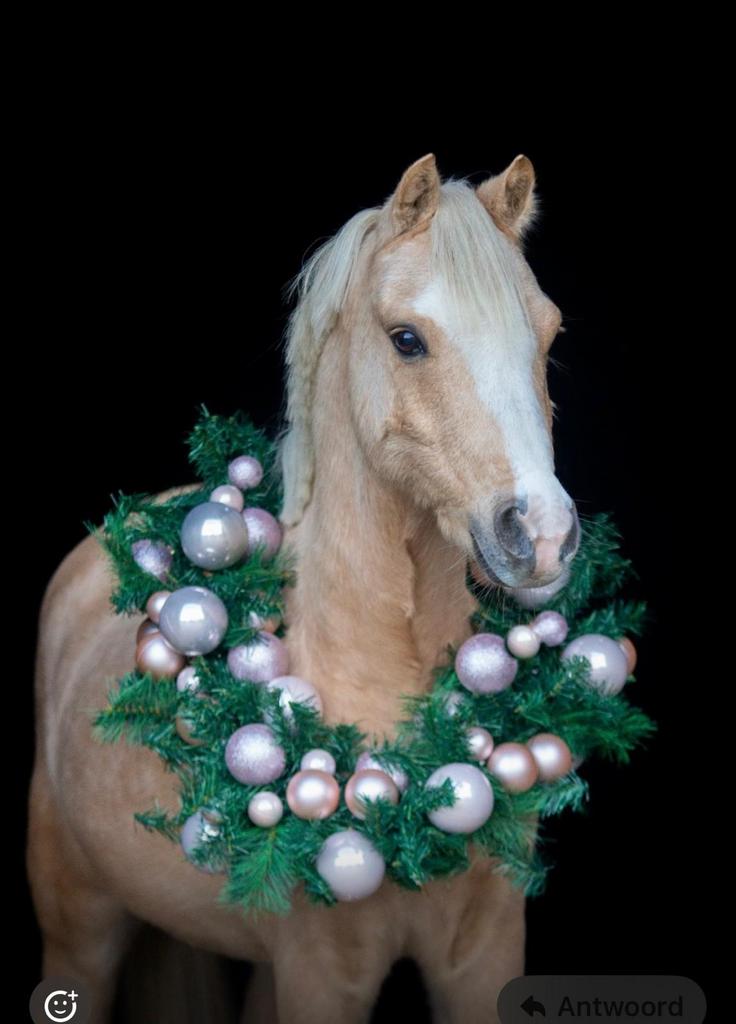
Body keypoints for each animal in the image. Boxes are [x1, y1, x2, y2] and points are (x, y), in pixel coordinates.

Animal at [27, 153, 579, 1023]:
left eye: (549, 334)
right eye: (407, 339)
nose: (545, 533)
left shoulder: (483, 956)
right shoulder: (322, 975)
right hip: (79, 932)